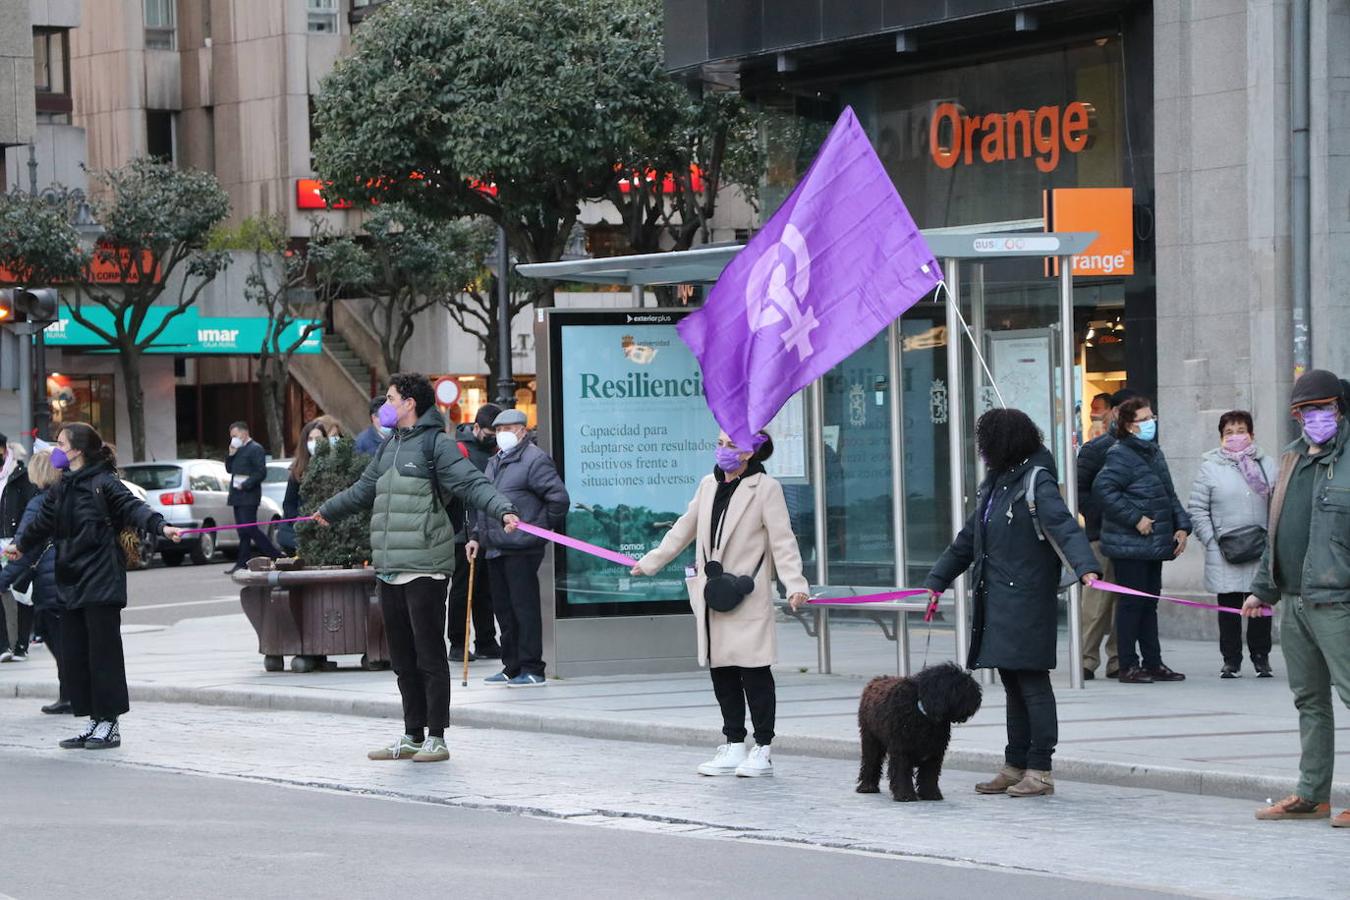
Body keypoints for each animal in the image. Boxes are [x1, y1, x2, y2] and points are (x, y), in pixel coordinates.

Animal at [853, 661, 982, 804]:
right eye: (959, 684)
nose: (978, 697)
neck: (922, 714)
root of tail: (876, 680)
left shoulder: (934, 753)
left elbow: (929, 775)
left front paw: (931, 794)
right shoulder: (902, 750)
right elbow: (902, 773)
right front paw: (905, 795)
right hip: (871, 739)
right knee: (870, 761)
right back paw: (867, 786)